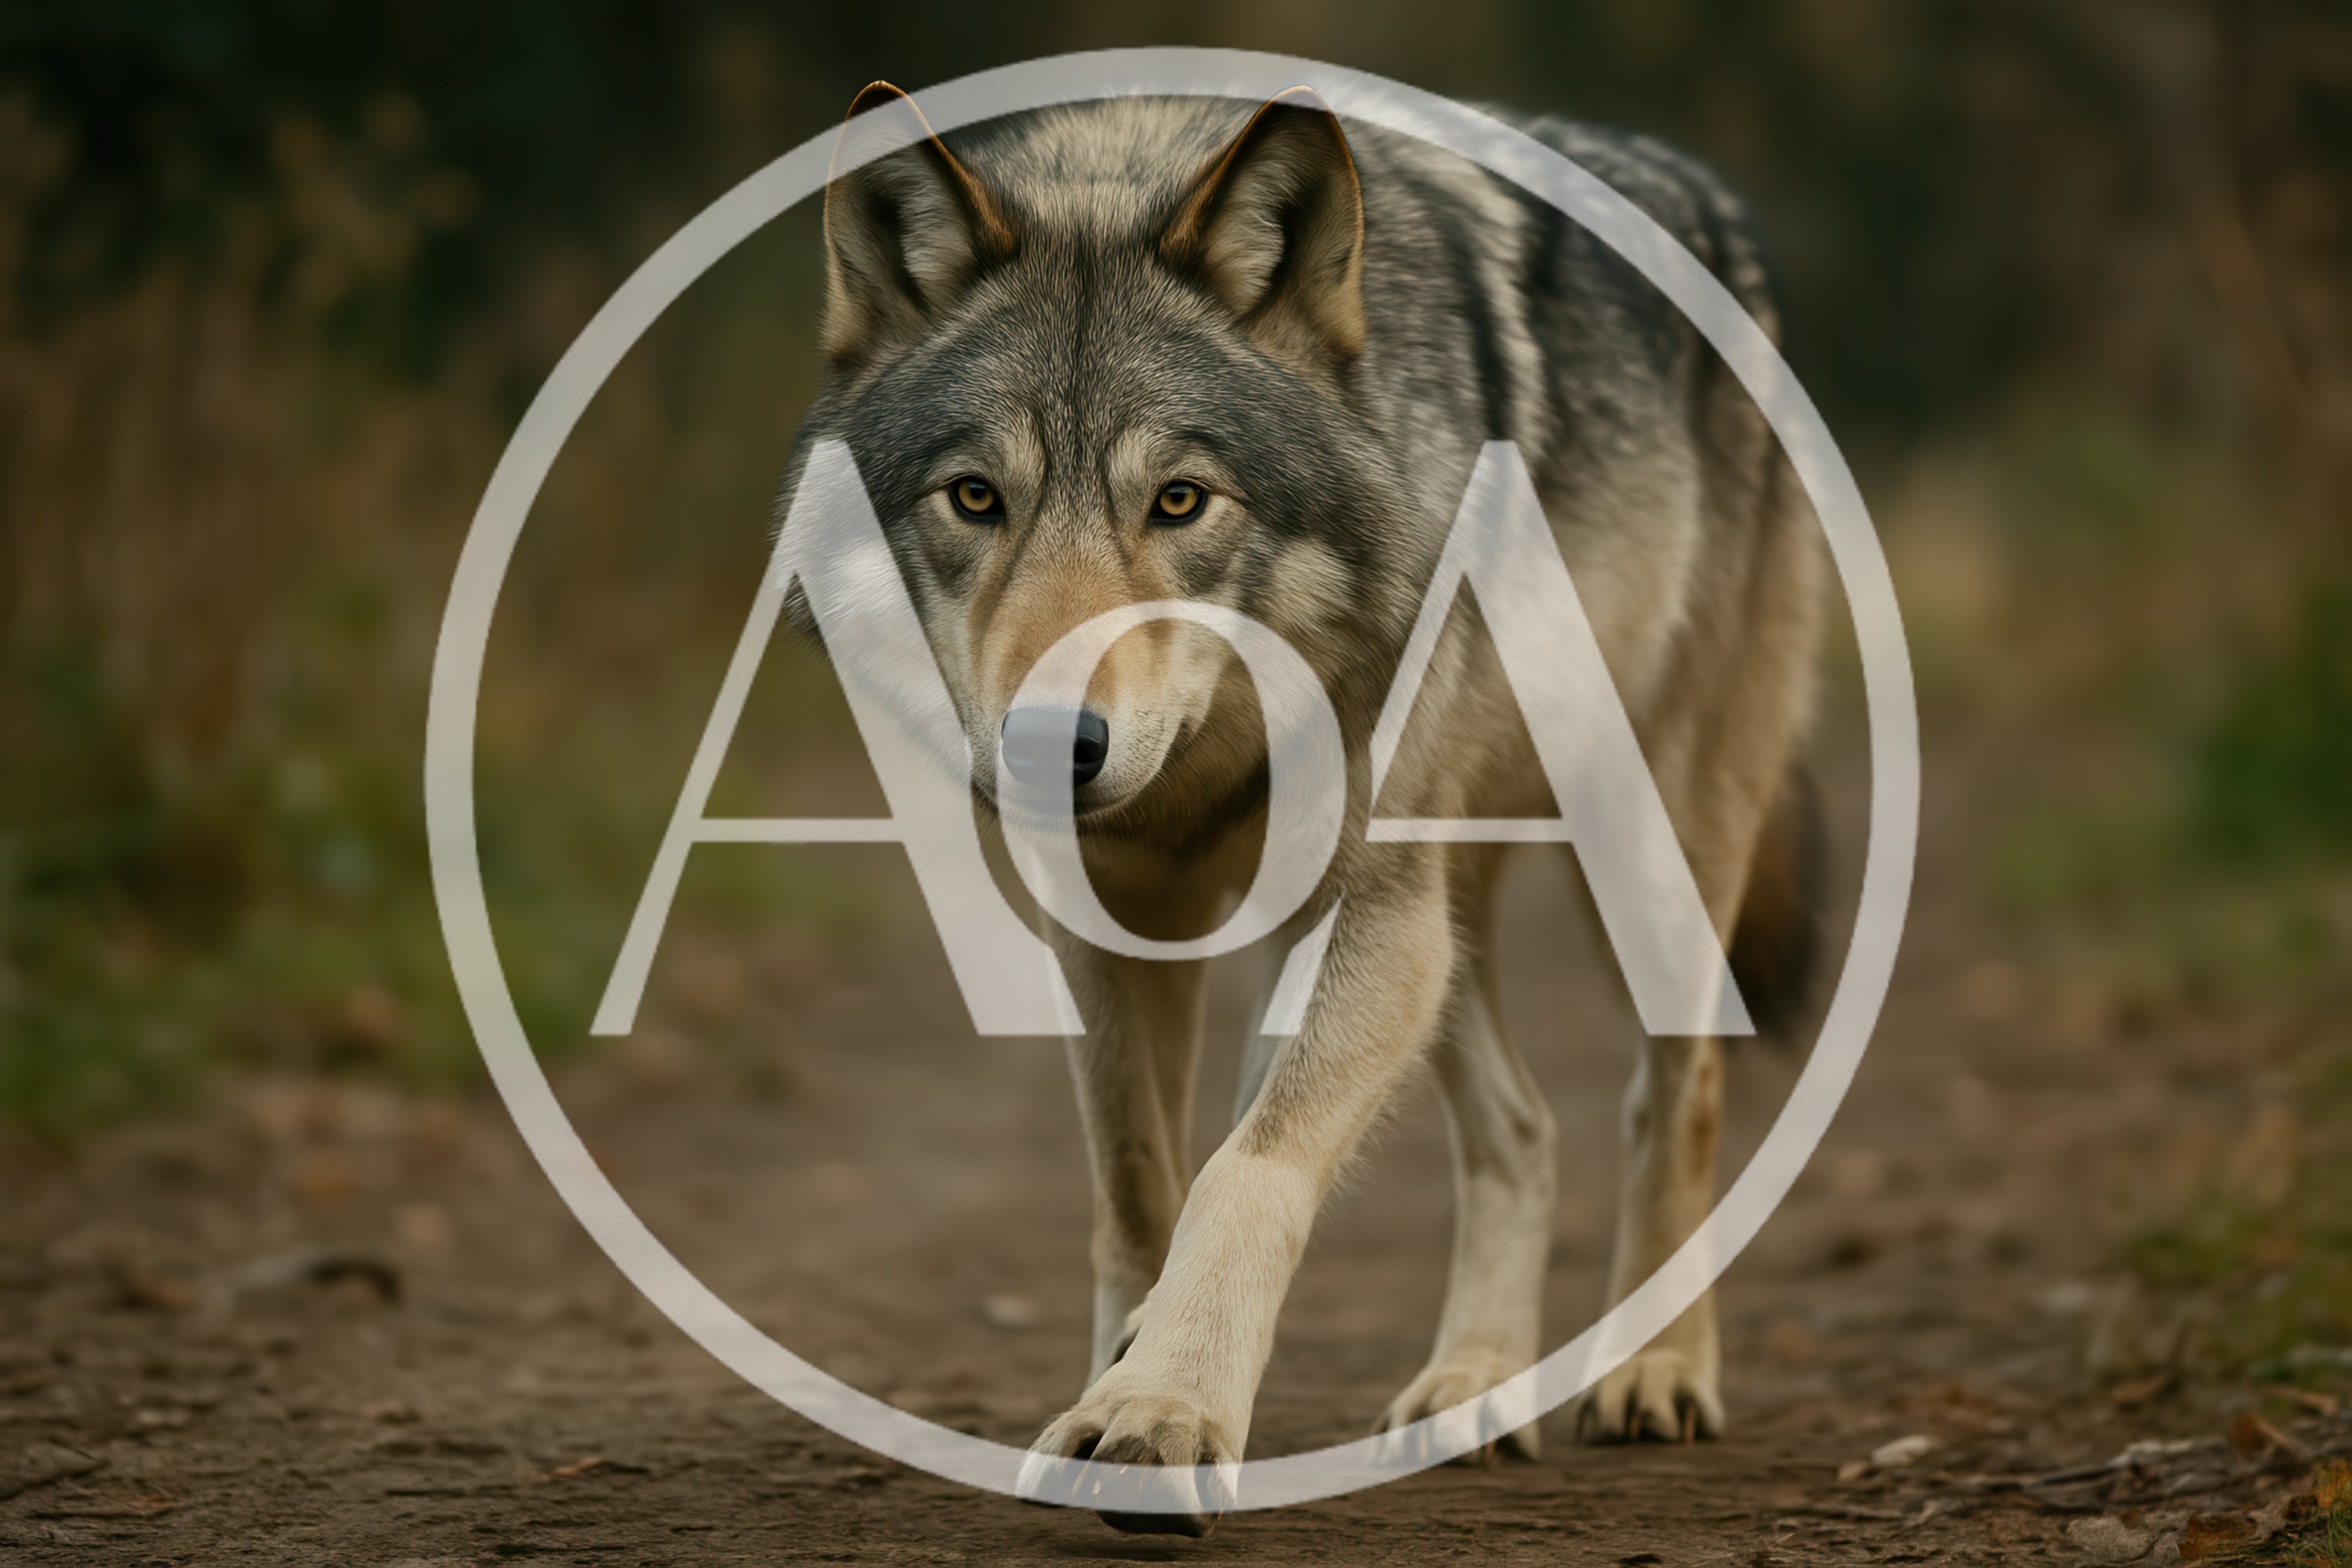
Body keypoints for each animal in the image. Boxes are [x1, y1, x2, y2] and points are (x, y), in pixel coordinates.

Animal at [779, 80, 1826, 1534]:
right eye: (975, 499)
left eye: (1180, 501)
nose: (1051, 745)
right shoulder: (1119, 929)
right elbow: (1138, 1183)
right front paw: (1120, 1386)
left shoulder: (1361, 911)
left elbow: (1247, 1165)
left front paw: (1163, 1414)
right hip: (1450, 915)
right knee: (1523, 1124)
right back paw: (1473, 1388)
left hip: (1638, 857)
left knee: (1682, 1088)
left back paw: (1657, 1371)